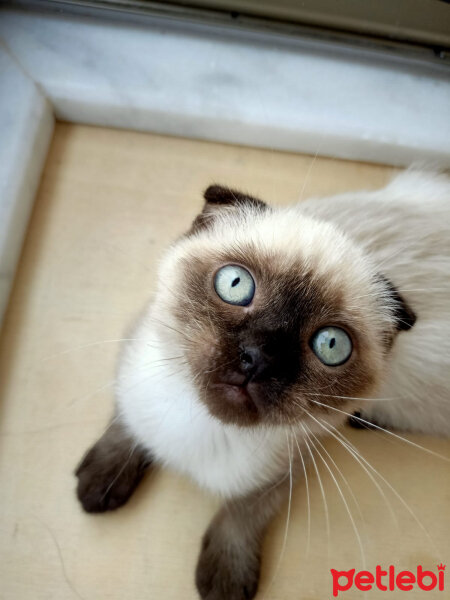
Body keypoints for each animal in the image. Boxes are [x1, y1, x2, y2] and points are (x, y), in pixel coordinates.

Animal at [74, 170, 450, 600]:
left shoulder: (286, 468)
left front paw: (225, 580)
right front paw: (98, 485)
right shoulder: (133, 359)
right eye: (235, 284)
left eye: (331, 345)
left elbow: (241, 514)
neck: (202, 430)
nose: (259, 358)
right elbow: (125, 426)